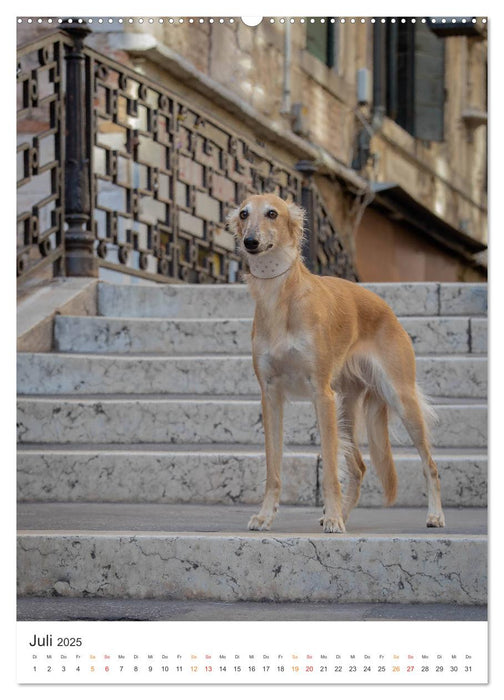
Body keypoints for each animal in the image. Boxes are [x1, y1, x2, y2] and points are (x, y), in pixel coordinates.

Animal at [228, 191, 444, 532]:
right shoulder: (270, 396)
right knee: (358, 467)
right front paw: (265, 515)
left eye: (272, 213)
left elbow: (329, 468)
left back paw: (433, 515)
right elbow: (273, 468)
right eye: (243, 214)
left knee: (430, 464)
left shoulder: (321, 395)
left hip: (399, 397)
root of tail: (386, 308)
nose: (250, 242)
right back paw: (344, 513)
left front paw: (331, 517)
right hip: (346, 407)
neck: (280, 299)